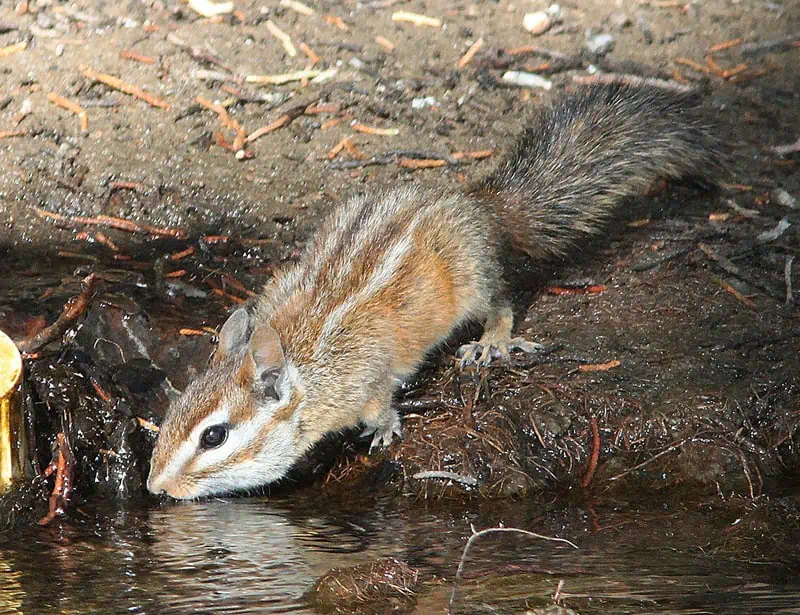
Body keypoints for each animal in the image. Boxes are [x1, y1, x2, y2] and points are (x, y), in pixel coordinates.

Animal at [147, 83, 729, 499]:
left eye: (214, 436)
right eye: (172, 414)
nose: (156, 487)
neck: (306, 367)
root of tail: (478, 203)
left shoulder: (367, 379)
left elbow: (379, 406)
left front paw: (384, 430)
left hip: (472, 282)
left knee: (501, 301)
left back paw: (492, 341)